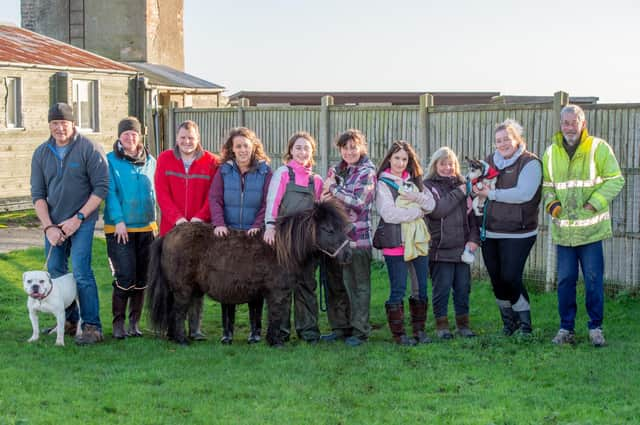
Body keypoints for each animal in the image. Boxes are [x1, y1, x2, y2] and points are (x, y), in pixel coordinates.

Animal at [148, 199, 352, 344]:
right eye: (329, 230)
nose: (348, 254)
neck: (281, 249)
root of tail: (168, 236)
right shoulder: (277, 292)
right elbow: (276, 314)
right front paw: (276, 341)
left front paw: (272, 339)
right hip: (183, 289)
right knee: (178, 312)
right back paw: (181, 340)